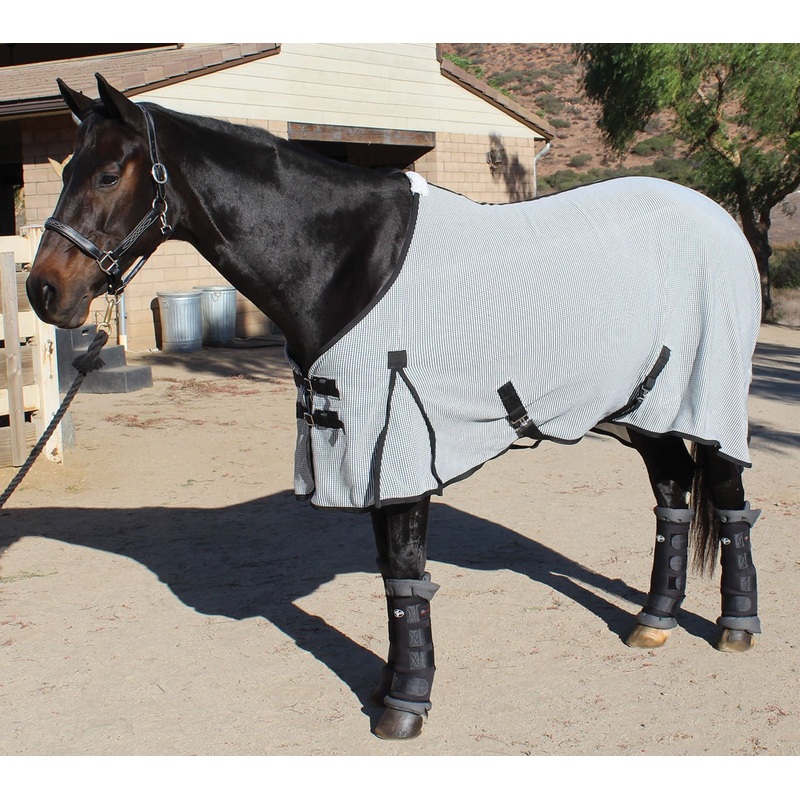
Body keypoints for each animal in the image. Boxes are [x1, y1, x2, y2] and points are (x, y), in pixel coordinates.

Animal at [26, 75, 762, 740]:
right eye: (65, 171)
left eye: (108, 175)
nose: (43, 291)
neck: (345, 256)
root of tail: (716, 217)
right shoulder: (359, 448)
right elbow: (388, 577)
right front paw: (388, 685)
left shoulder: (397, 442)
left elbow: (406, 577)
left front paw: (406, 703)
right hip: (648, 407)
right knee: (671, 494)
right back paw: (653, 621)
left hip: (709, 397)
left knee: (727, 497)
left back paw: (736, 627)